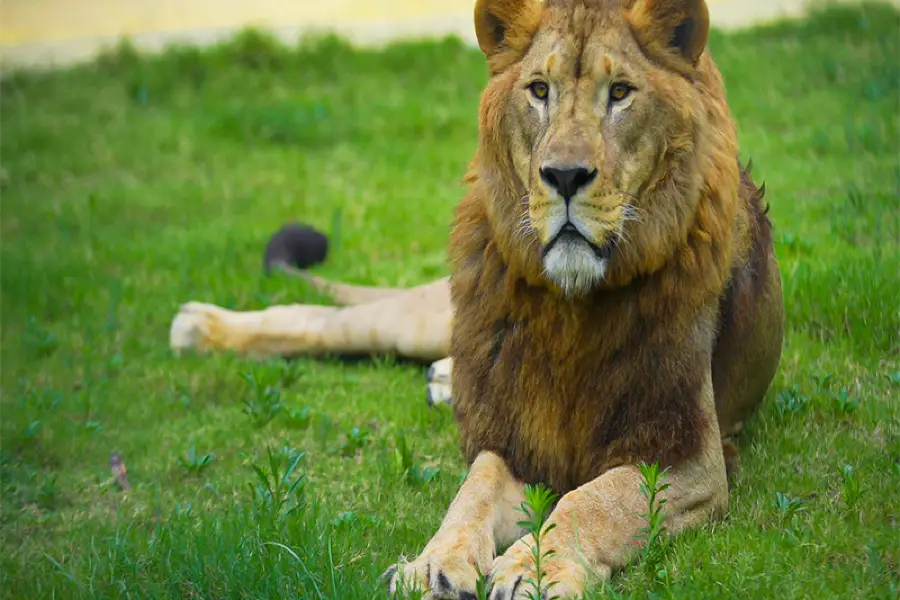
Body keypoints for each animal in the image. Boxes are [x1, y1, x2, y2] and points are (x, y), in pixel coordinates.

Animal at [172, 0, 784, 596]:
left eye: (620, 93)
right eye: (539, 90)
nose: (564, 176)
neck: (572, 307)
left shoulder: (691, 456)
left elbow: (596, 502)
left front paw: (535, 571)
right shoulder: (515, 436)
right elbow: (475, 488)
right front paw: (434, 566)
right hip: (426, 319)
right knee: (325, 320)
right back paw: (199, 327)